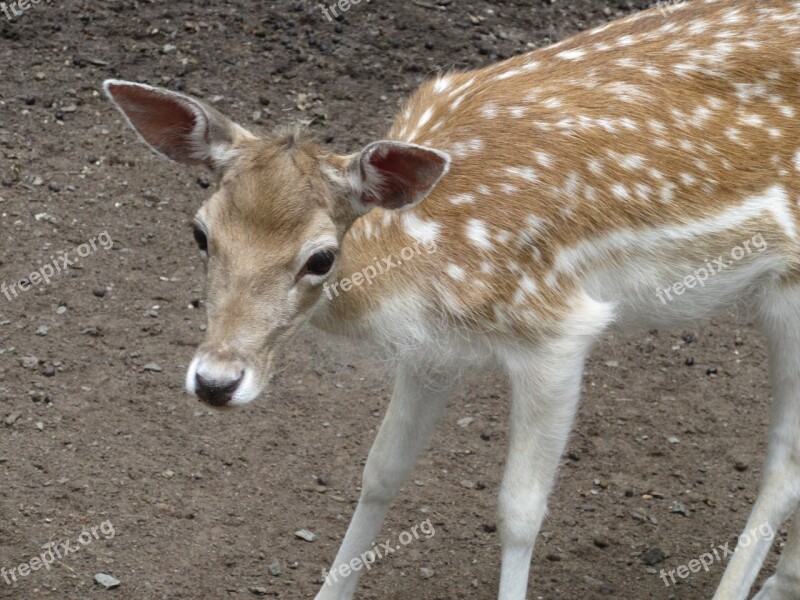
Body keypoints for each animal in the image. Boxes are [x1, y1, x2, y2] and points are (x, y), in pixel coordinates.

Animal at [104, 0, 800, 596]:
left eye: (321, 257)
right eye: (200, 232)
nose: (216, 381)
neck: (419, 258)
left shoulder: (557, 327)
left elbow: (519, 511)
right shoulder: (432, 349)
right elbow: (379, 472)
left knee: (782, 463)